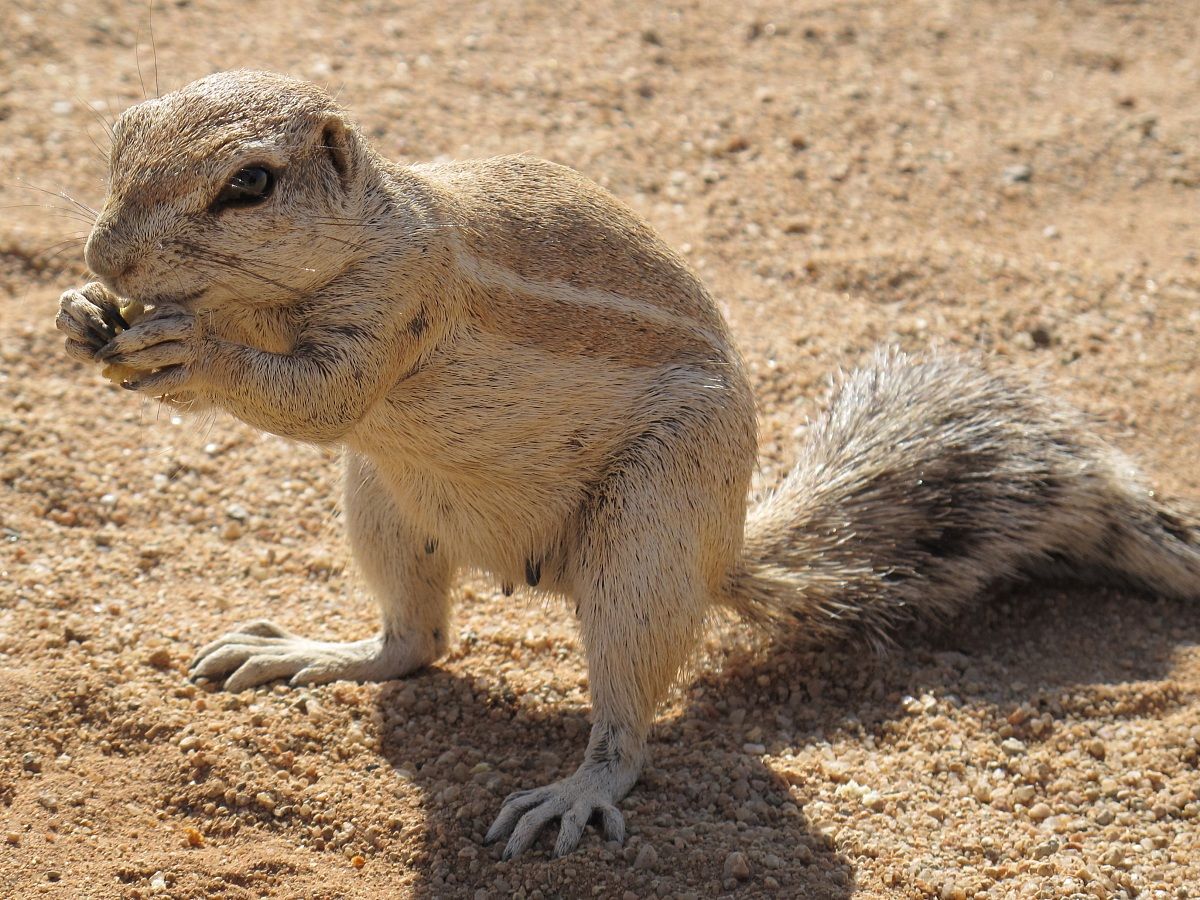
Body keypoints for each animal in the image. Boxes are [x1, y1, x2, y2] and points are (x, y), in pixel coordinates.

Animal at [55, 70, 1200, 860]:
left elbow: (321, 397)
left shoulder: (401, 303)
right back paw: (310, 651)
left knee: (623, 728)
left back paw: (576, 791)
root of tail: (721, 553)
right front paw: (80, 315)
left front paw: (188, 351)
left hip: (644, 538)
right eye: (116, 136)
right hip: (383, 503)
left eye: (249, 184)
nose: (107, 259)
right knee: (414, 643)